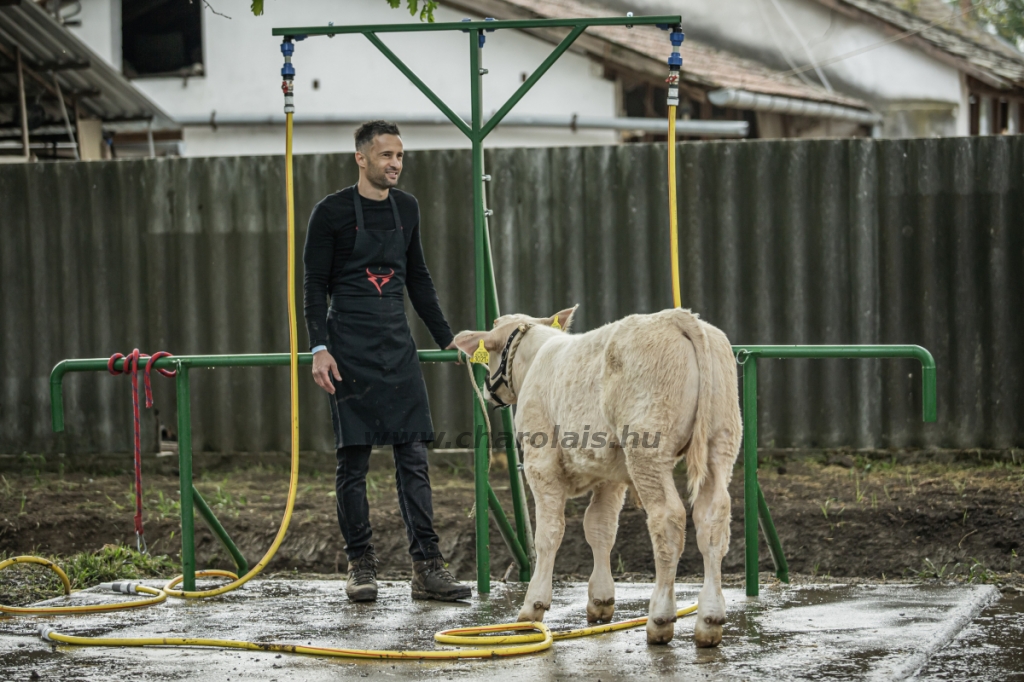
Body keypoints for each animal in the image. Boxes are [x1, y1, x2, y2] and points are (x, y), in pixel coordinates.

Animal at [454, 305, 737, 647]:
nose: (486, 390)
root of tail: (677, 317)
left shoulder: (540, 462)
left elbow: (549, 532)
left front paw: (533, 606)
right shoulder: (609, 474)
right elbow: (600, 526)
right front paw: (600, 600)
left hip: (647, 448)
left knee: (668, 518)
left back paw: (660, 617)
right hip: (721, 439)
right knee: (713, 518)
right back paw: (710, 619)